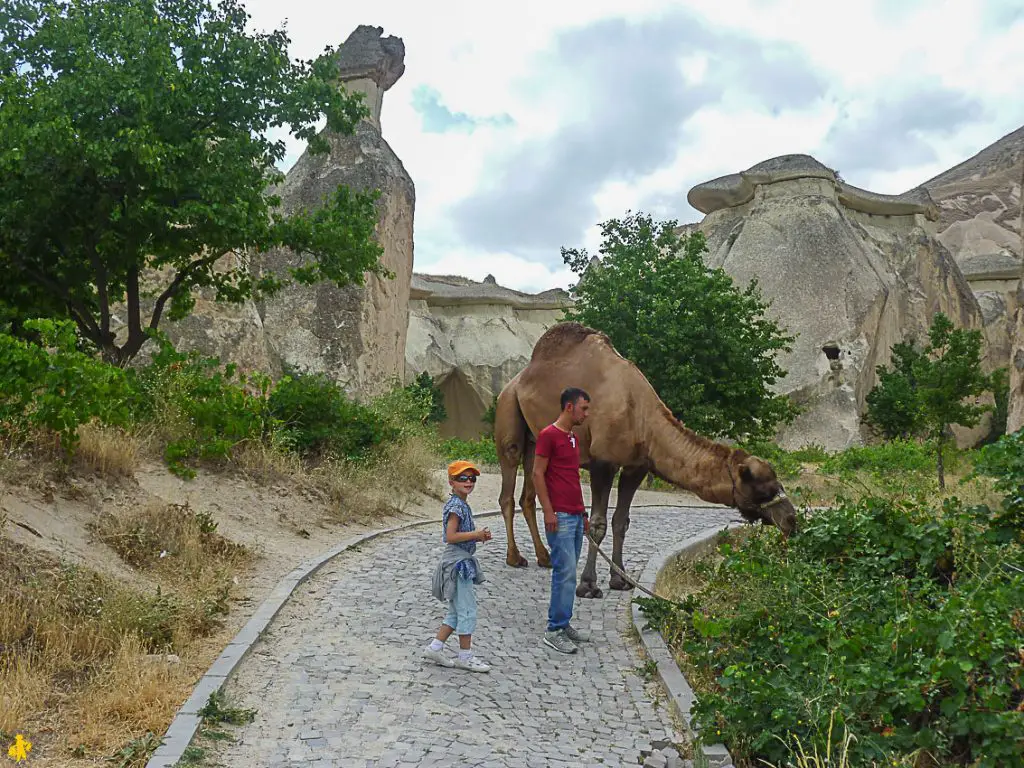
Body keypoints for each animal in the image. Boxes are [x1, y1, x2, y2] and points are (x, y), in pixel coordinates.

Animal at [495, 321, 798, 598]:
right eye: (763, 488)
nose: (791, 520)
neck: (640, 416)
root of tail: (516, 380)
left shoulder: (636, 467)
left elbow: (621, 521)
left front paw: (620, 580)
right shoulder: (603, 462)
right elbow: (597, 524)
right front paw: (588, 585)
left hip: (536, 440)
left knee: (528, 493)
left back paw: (544, 557)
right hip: (509, 411)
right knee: (508, 484)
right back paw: (515, 557)